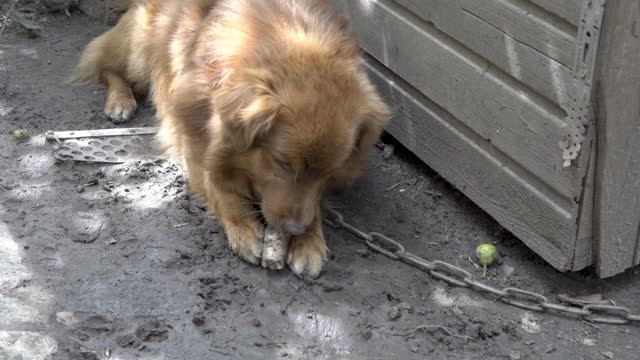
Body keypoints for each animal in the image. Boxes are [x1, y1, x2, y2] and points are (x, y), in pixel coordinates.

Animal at [72, 0, 388, 278]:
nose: (295, 230)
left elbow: (315, 204)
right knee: (107, 66)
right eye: (282, 163)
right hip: (139, 47)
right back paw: (120, 101)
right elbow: (219, 187)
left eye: (329, 173)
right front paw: (244, 227)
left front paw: (310, 241)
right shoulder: (196, 143)